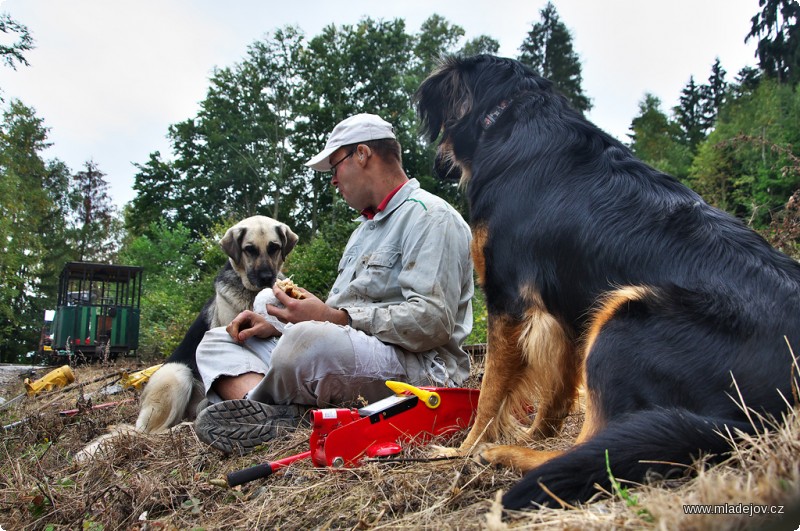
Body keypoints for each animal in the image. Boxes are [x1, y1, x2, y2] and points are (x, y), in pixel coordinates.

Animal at [416, 55, 800, 512]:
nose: (435, 165)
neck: (513, 113)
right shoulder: (566, 314)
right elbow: (556, 394)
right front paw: (533, 433)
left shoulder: (507, 299)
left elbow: (491, 393)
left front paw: (462, 449)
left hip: (624, 318)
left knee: (595, 447)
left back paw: (503, 455)